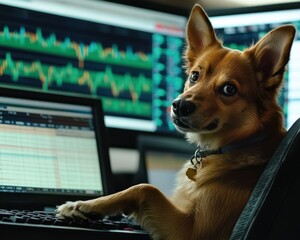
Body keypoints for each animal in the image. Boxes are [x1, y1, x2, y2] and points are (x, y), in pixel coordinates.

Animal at [56, 4, 296, 240]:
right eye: (195, 76)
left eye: (229, 89)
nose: (179, 105)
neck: (237, 145)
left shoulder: (193, 231)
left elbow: (144, 187)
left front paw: (84, 205)